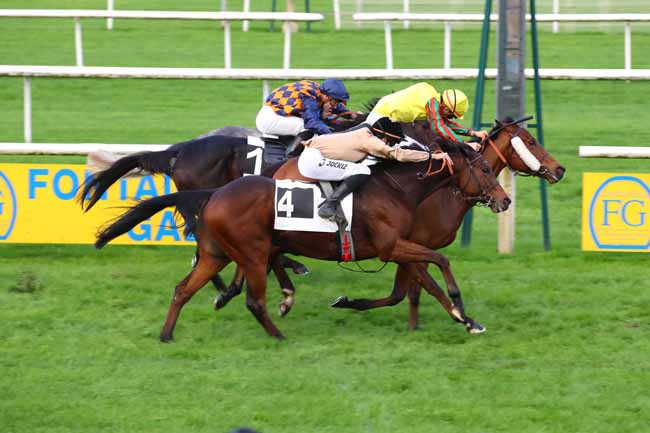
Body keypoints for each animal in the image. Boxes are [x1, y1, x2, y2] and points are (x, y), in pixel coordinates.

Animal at [93, 131, 508, 338]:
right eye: (486, 169)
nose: (503, 200)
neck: (396, 188)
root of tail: (213, 194)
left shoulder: (397, 249)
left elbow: (422, 280)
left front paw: (465, 318)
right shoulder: (393, 246)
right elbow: (439, 264)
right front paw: (462, 311)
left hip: (219, 252)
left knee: (186, 287)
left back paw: (170, 332)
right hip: (251, 250)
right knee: (253, 295)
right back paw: (275, 327)